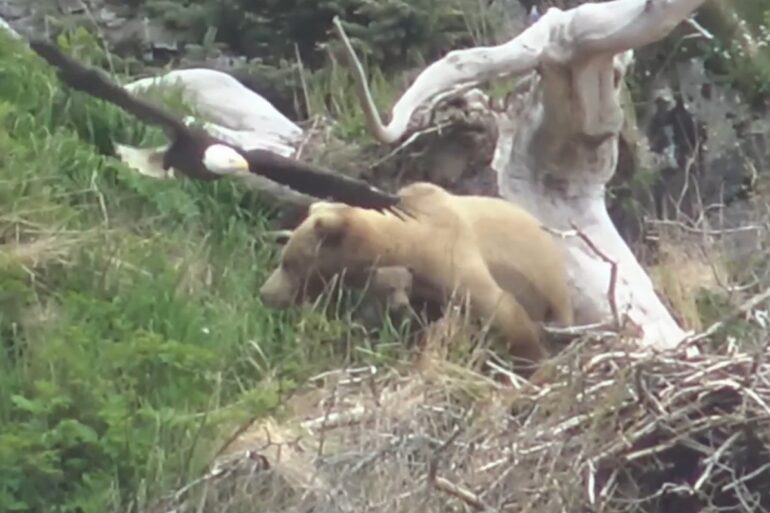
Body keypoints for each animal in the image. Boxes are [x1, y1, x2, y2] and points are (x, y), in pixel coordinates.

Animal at [258, 181, 574, 370]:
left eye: (288, 263)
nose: (265, 293)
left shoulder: (451, 252)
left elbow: (499, 307)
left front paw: (533, 360)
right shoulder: (422, 290)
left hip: (550, 287)